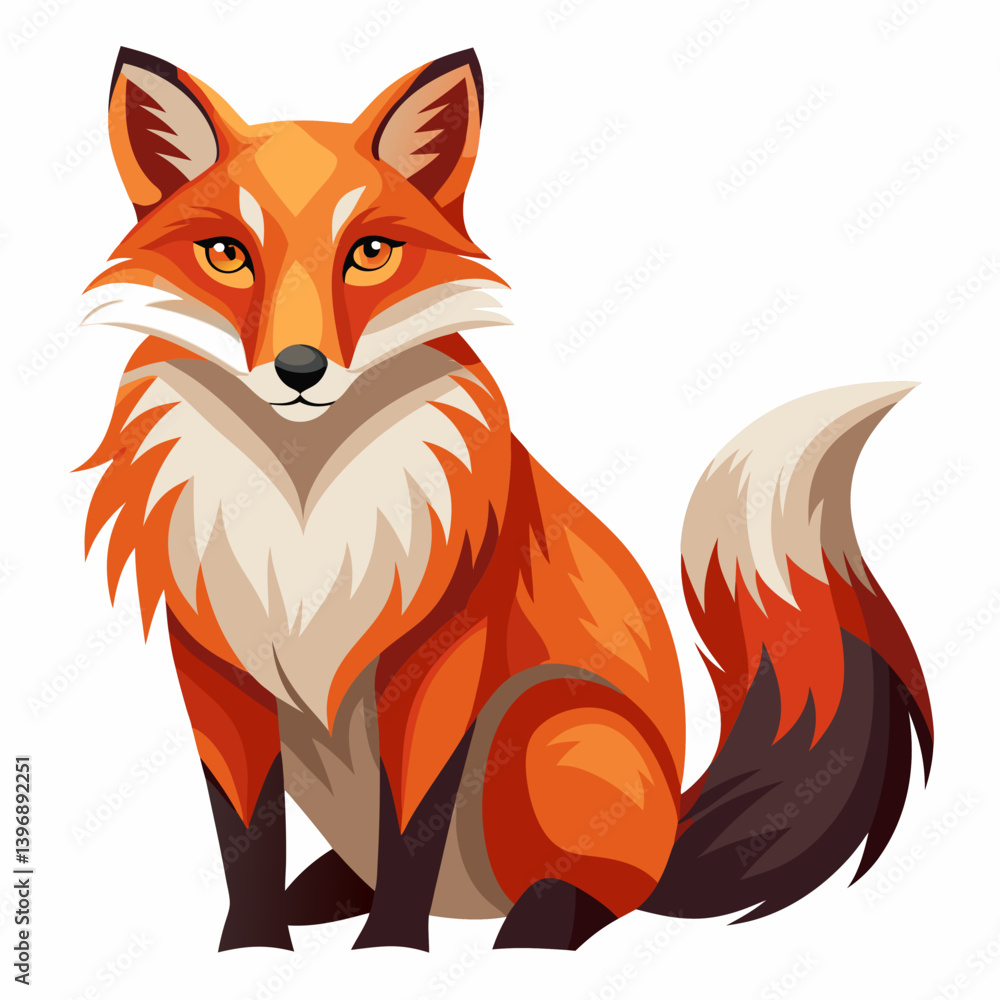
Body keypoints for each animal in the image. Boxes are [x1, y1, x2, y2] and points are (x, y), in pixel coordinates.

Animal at [78, 46, 934, 952]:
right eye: (227, 254)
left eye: (370, 252)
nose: (300, 369)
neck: (304, 512)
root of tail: (676, 828)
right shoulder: (216, 668)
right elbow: (244, 832)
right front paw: (249, 947)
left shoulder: (440, 654)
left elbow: (411, 819)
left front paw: (391, 950)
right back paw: (329, 892)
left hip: (544, 719)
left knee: (603, 895)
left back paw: (537, 926)